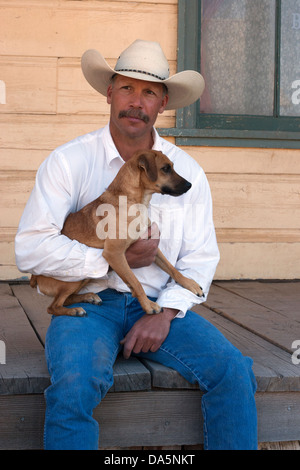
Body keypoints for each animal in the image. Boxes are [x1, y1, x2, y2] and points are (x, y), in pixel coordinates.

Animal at [30, 150, 204, 316]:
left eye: (171, 167)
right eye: (165, 168)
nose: (189, 185)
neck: (135, 202)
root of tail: (35, 277)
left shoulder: (151, 246)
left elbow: (171, 268)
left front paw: (190, 283)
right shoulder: (114, 253)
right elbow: (135, 282)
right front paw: (148, 305)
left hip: (82, 279)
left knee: (67, 299)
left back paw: (88, 297)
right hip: (72, 280)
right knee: (53, 306)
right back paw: (75, 310)